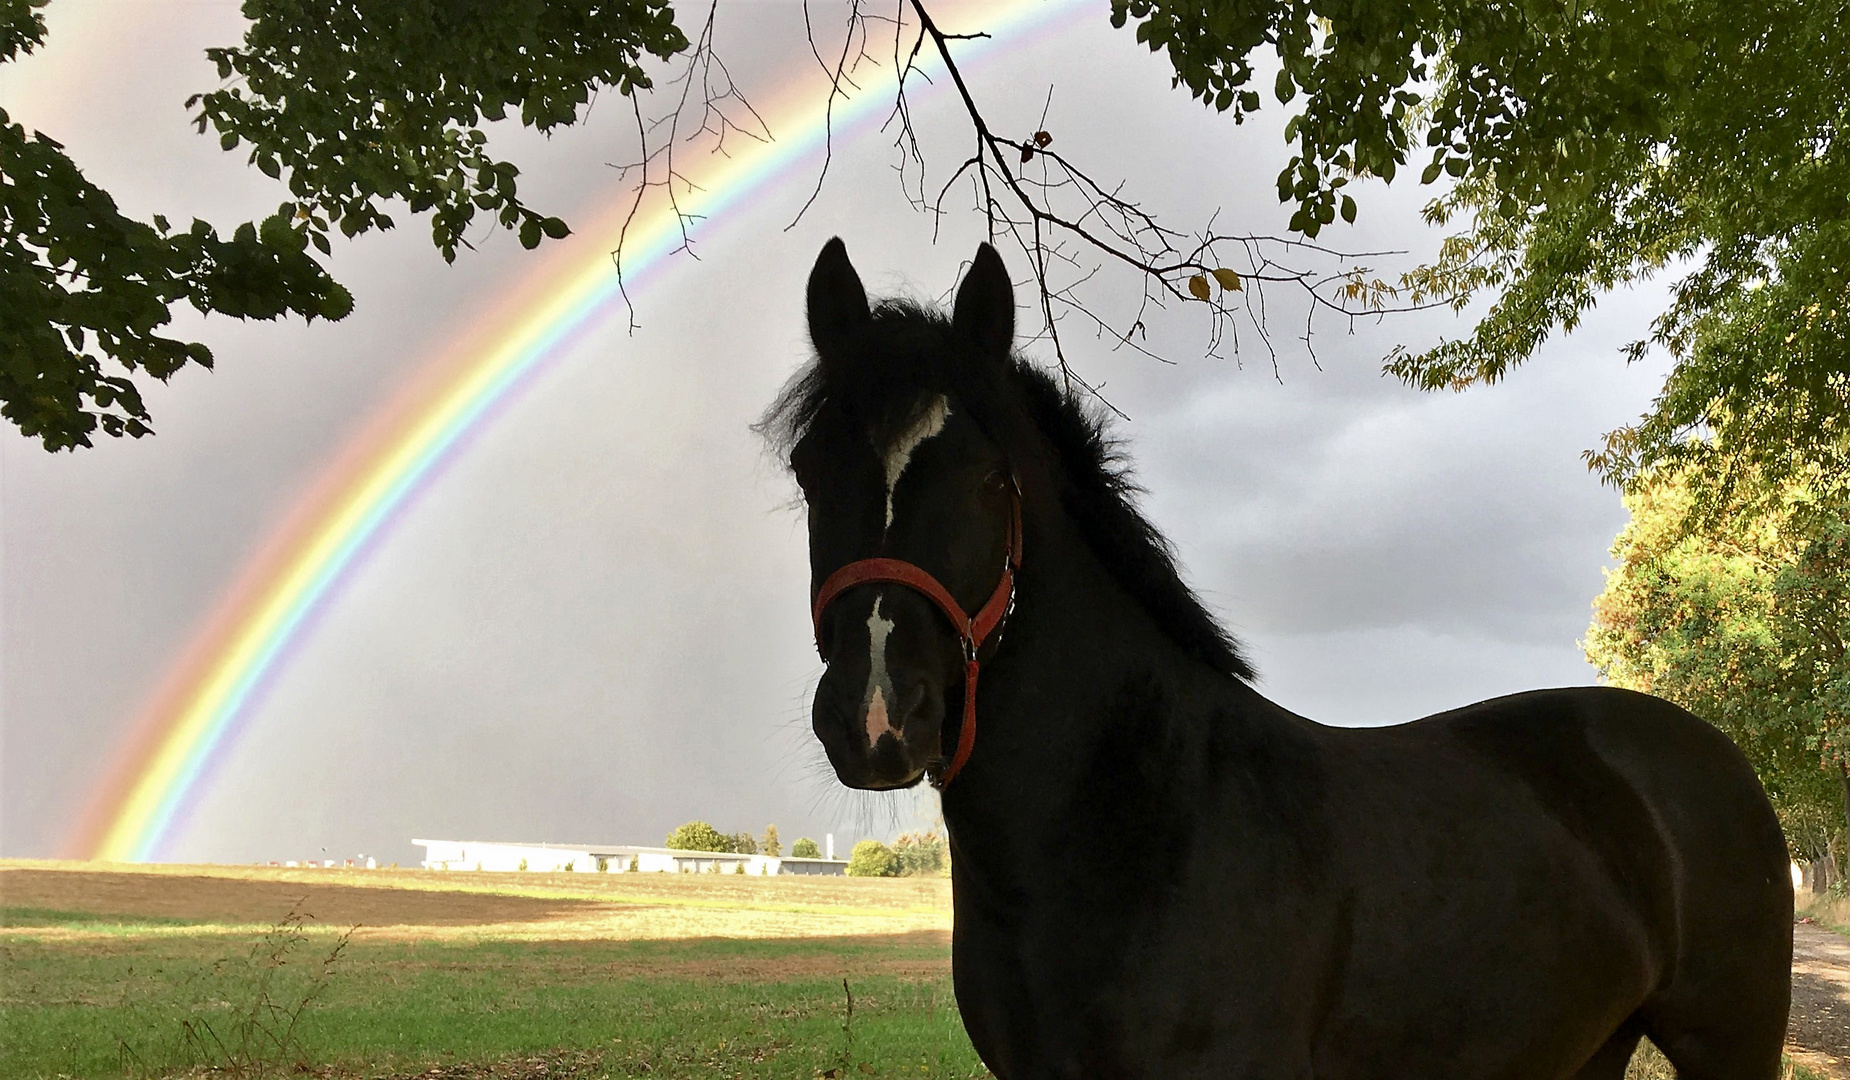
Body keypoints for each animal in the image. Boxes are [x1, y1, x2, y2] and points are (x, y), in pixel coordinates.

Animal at [765, 238, 1790, 1080]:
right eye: (811, 472)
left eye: (988, 477)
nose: (878, 714)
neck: (1129, 819)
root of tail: (1716, 755)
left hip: (1728, 1046)